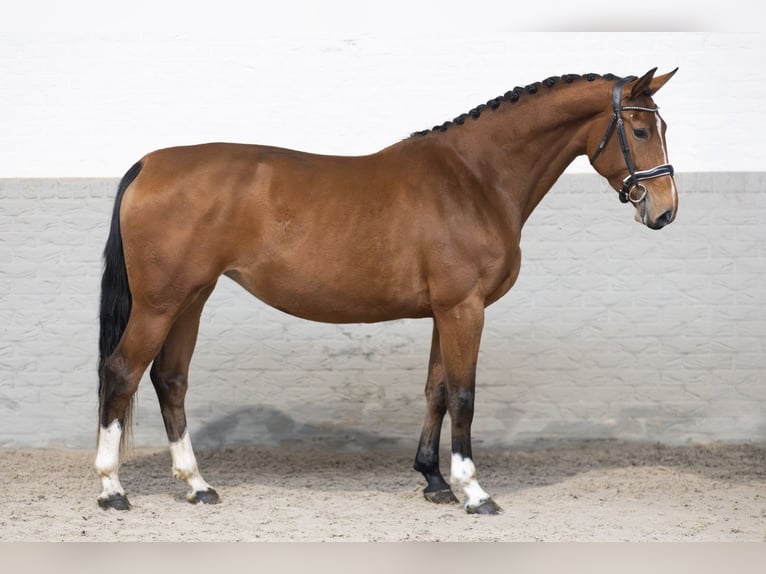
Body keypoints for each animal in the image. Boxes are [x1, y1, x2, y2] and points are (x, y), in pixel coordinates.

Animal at [94, 68, 680, 516]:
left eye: (662, 124)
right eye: (639, 129)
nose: (665, 210)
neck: (475, 178)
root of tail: (149, 164)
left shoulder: (445, 311)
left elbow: (436, 391)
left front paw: (434, 481)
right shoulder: (463, 309)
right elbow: (463, 396)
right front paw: (473, 492)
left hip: (191, 298)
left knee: (170, 380)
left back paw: (197, 485)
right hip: (160, 303)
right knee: (122, 373)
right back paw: (112, 488)